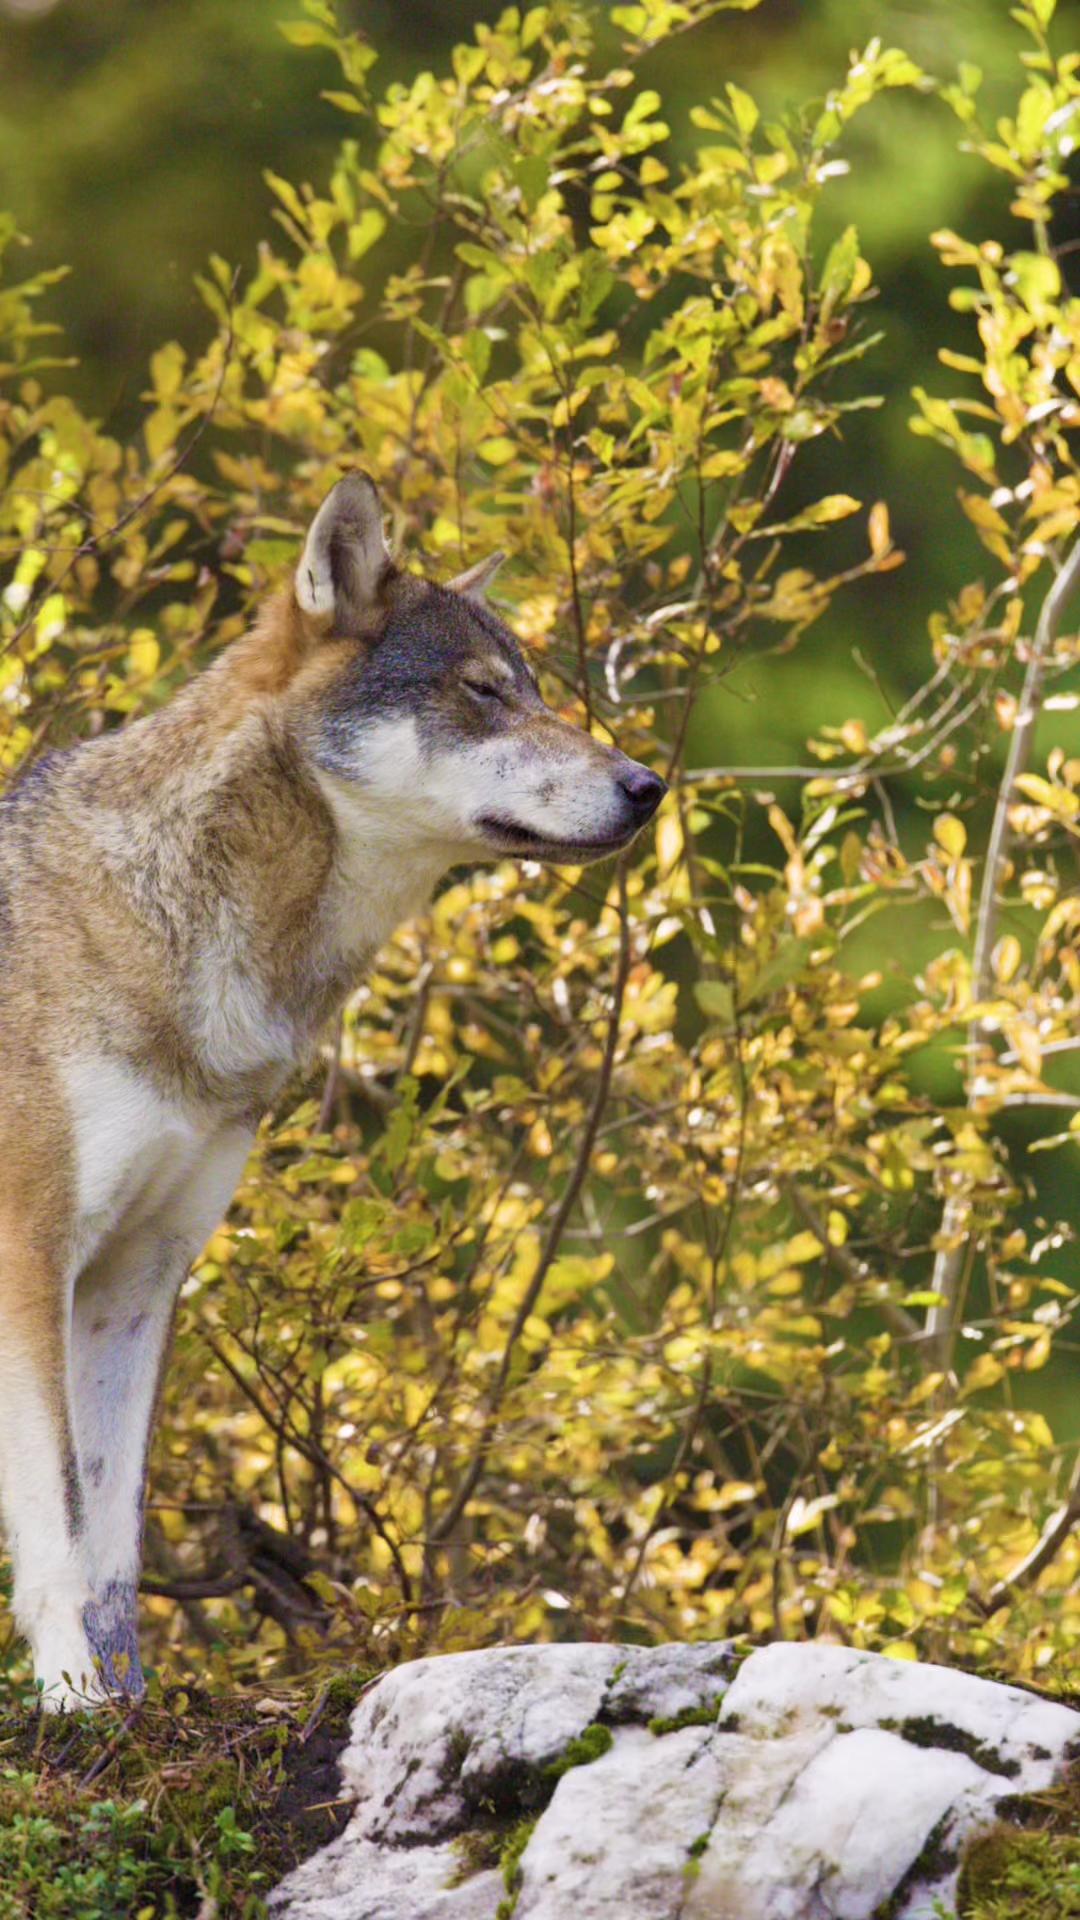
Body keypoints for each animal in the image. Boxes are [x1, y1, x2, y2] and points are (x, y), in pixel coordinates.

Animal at [0, 472, 665, 1708]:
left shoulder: (137, 1278)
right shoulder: (30, 1256)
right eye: (484, 693)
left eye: (537, 691)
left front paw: (127, 1712)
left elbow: (113, 1544)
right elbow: (60, 1522)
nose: (650, 787)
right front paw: (71, 1701)